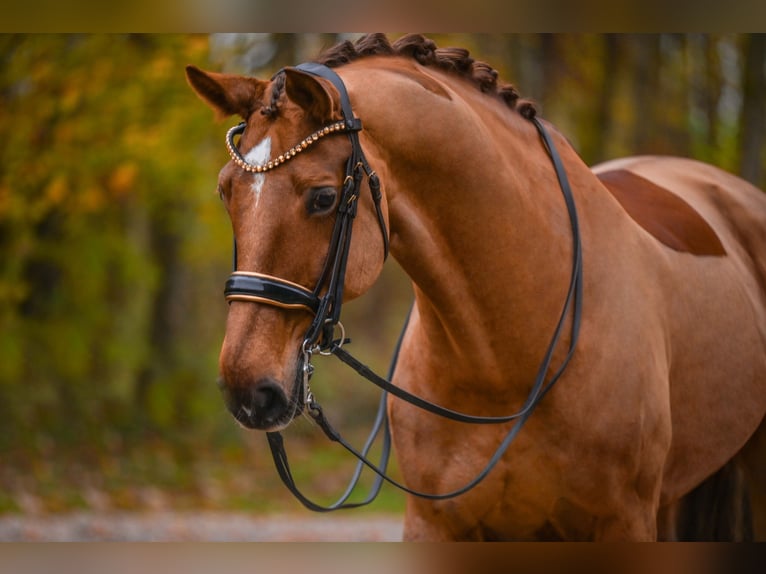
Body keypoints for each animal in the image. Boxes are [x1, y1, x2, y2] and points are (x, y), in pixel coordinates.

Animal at [188, 33, 766, 544]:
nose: (247, 390)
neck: (503, 363)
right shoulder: (436, 525)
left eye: (324, 198)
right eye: (225, 192)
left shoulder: (622, 522)